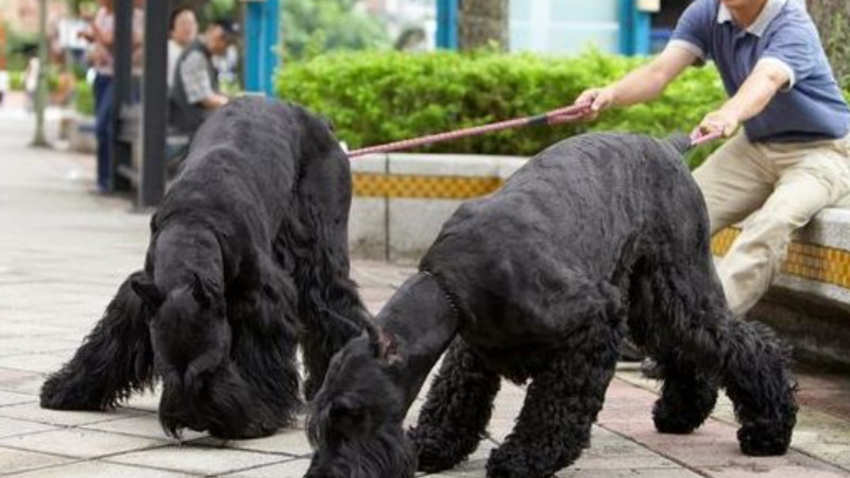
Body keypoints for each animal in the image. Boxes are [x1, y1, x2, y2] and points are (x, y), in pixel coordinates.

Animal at [40, 98, 368, 440]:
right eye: (165, 369)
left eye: (212, 365)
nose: (196, 419)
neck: (195, 221)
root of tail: (319, 121)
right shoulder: (142, 294)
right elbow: (112, 340)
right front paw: (68, 388)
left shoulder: (262, 301)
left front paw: (260, 414)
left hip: (319, 248)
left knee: (334, 308)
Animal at [304, 132, 796, 478]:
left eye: (348, 414)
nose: (326, 475)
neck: (449, 288)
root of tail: (669, 146)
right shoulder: (473, 344)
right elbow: (454, 396)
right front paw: (433, 442)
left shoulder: (593, 325)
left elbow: (553, 406)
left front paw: (524, 458)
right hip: (651, 298)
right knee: (683, 348)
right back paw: (679, 413)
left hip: (681, 283)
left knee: (746, 344)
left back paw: (768, 430)